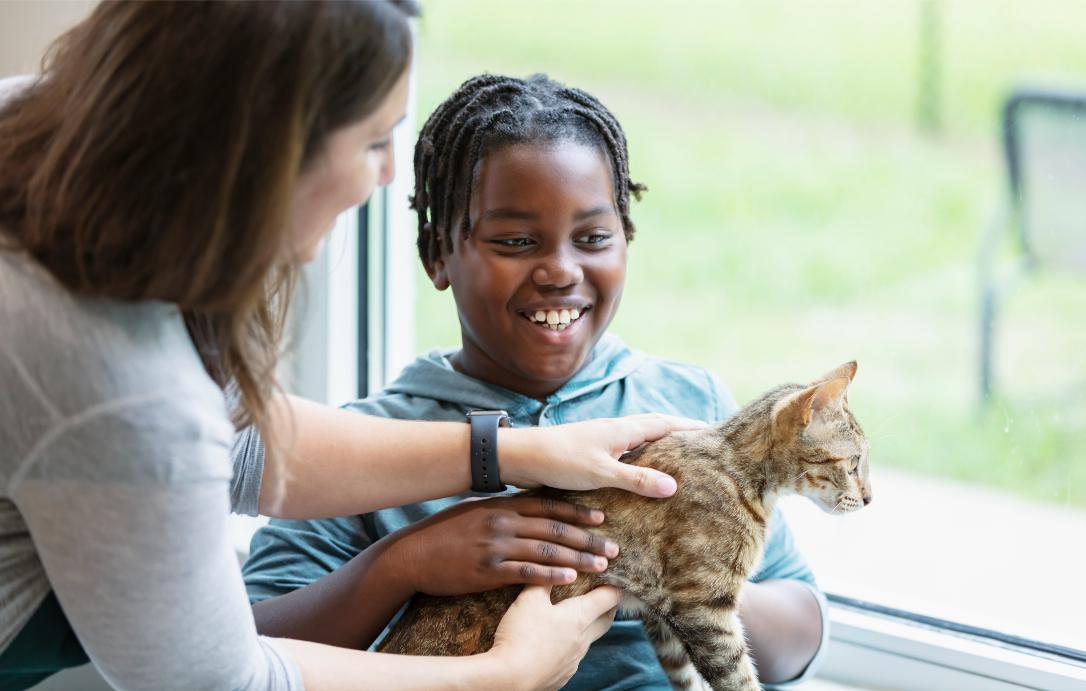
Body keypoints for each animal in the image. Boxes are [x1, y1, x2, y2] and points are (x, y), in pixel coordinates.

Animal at [380, 365, 873, 686]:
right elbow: (737, 676)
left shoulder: (659, 614)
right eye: (853, 464)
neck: (738, 470)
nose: (870, 499)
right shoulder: (701, 606)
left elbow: (682, 676)